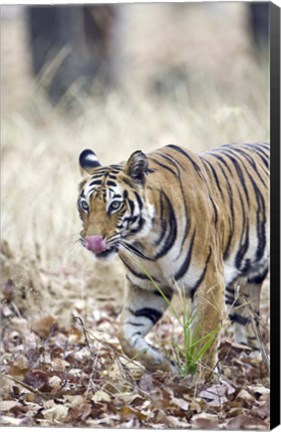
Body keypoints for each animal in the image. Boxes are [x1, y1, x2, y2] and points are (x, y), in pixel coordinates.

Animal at [77, 142, 270, 374]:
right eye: (85, 205)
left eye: (115, 205)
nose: (92, 241)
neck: (145, 242)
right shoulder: (146, 288)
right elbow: (126, 335)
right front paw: (163, 365)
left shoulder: (210, 283)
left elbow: (204, 342)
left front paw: (200, 380)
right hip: (241, 286)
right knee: (248, 326)